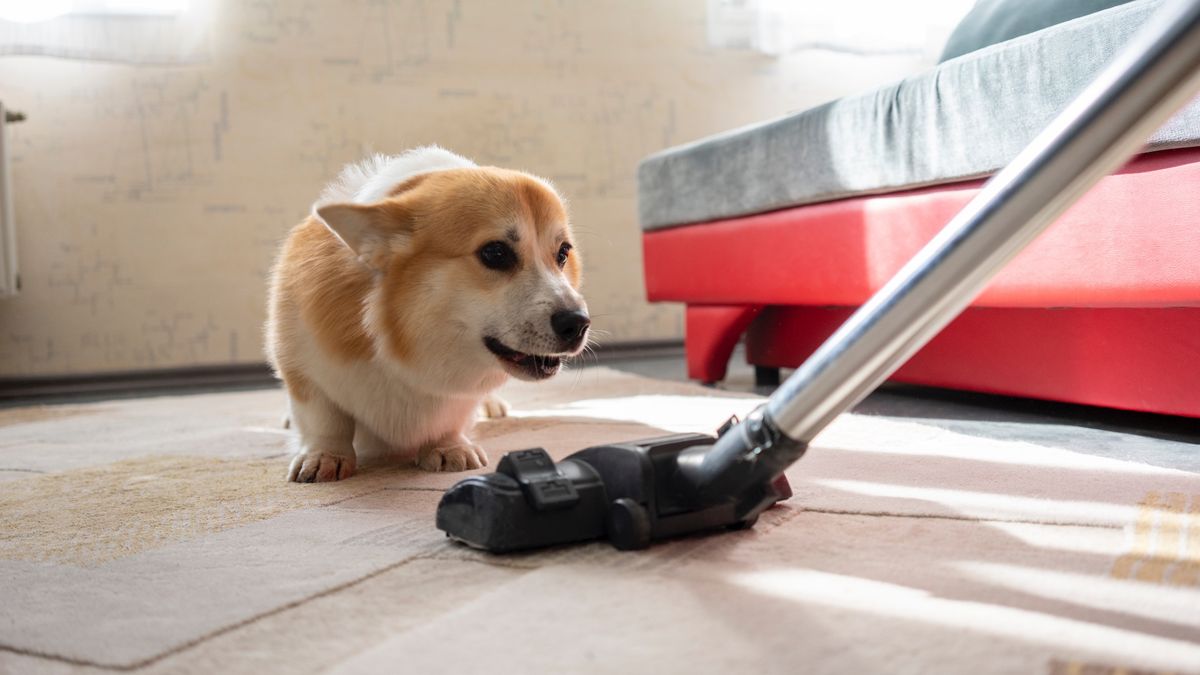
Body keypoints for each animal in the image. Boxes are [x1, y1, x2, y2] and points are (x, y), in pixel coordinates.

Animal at [265, 148, 588, 482]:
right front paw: (324, 456)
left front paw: (447, 448)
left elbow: (451, 419)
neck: (402, 346)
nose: (578, 324)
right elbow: (325, 419)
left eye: (563, 253)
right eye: (495, 252)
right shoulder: (303, 367)